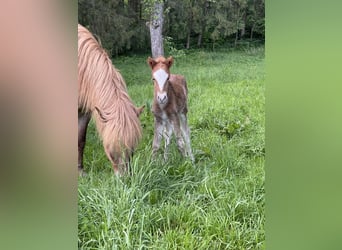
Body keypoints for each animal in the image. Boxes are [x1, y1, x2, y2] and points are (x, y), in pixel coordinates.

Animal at [78, 24, 144, 175]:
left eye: (132, 149)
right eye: (111, 150)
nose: (126, 178)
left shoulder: (84, 112)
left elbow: (80, 140)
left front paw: (80, 171)